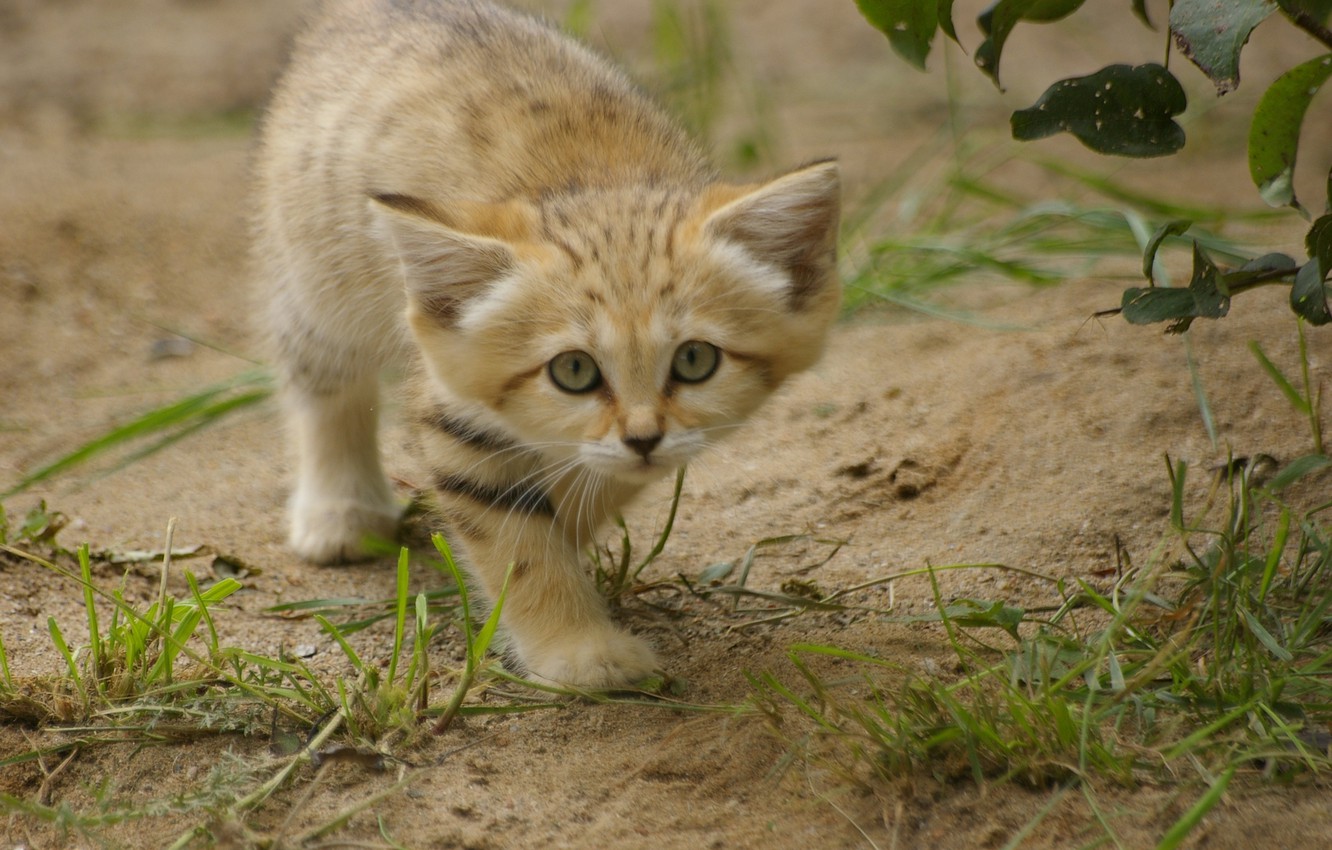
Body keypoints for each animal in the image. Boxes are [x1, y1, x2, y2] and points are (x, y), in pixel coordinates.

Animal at [254, 0, 836, 687]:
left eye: (696, 360)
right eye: (574, 371)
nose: (644, 437)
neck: (601, 181)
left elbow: (586, 487)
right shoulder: (458, 413)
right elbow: (520, 547)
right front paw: (581, 651)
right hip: (318, 276)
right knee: (321, 382)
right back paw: (339, 511)